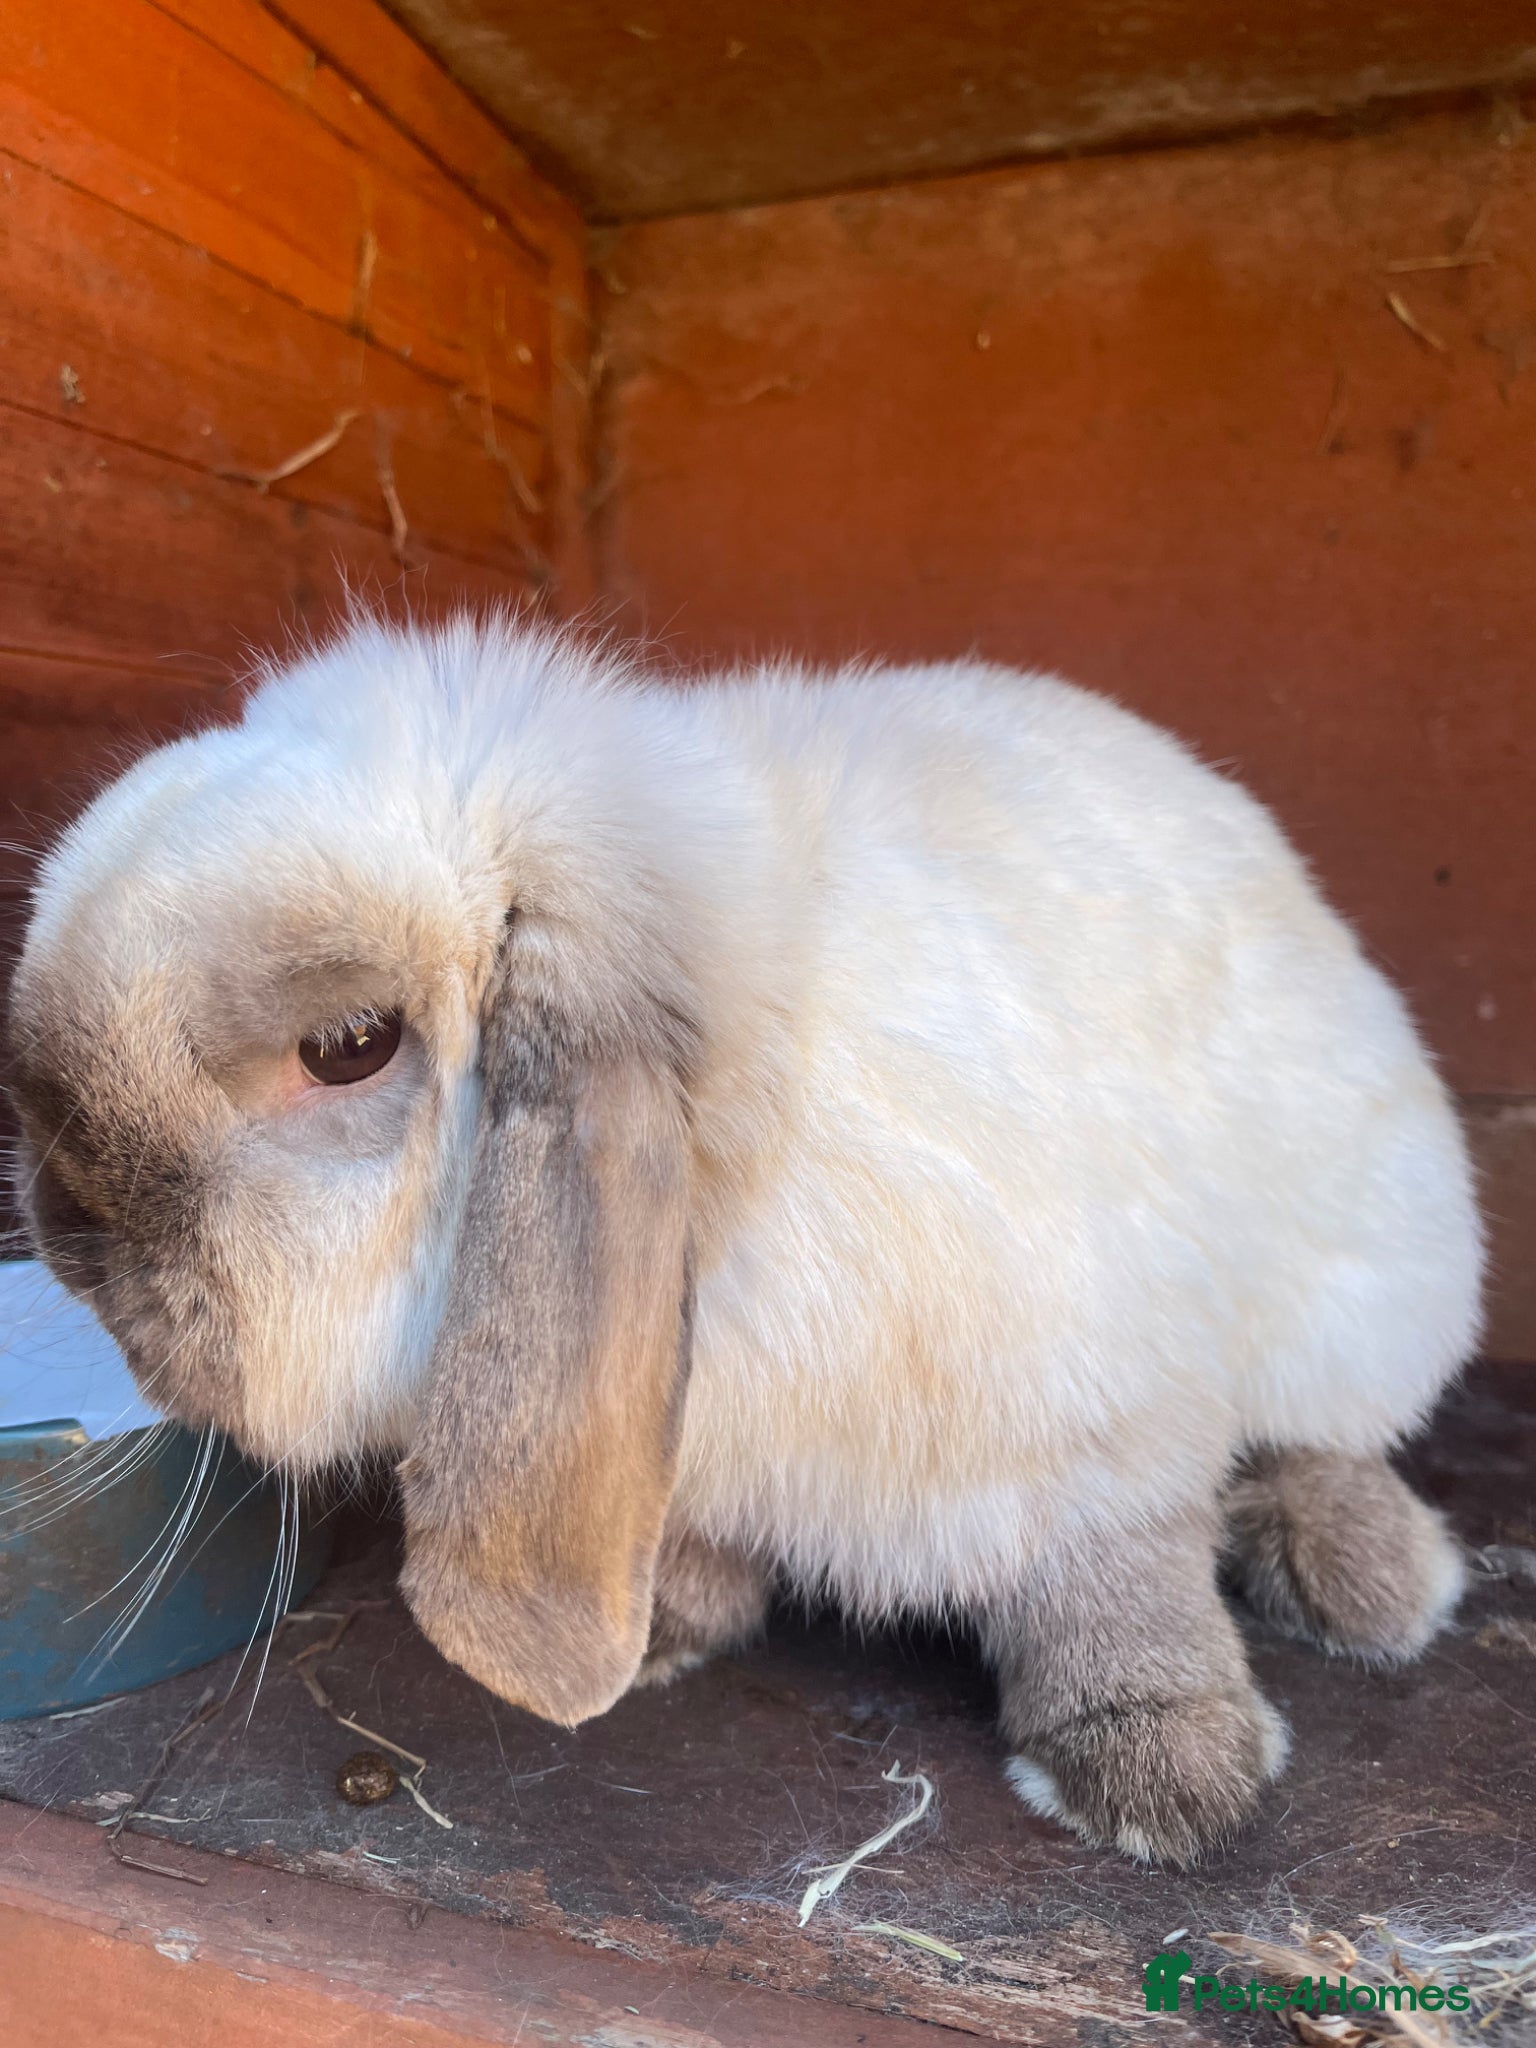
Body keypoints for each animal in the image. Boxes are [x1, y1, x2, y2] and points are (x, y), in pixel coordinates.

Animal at [8, 615, 1480, 1865]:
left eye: (349, 1045)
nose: (68, 1230)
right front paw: (662, 1624)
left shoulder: (1103, 1422)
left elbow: (1123, 1576)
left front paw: (1161, 1778)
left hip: (1376, 1293)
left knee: (1320, 1439)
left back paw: (1370, 1581)